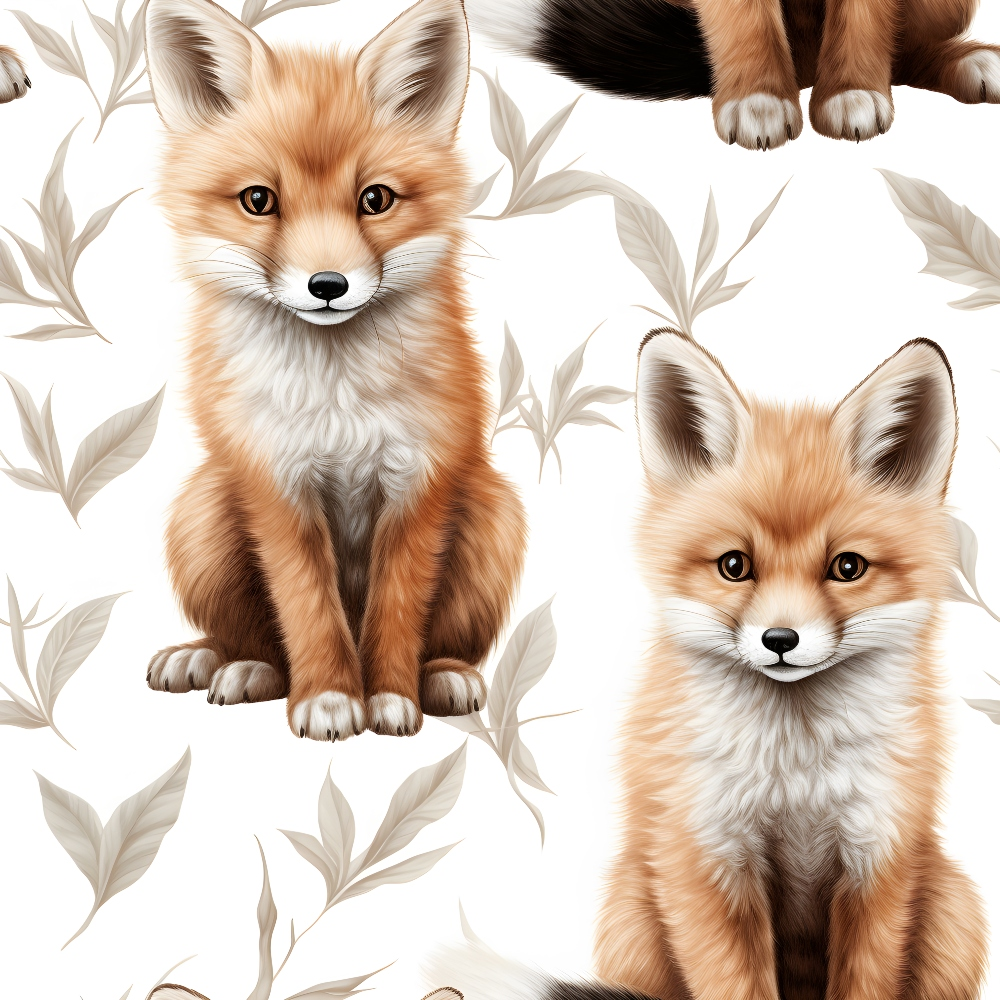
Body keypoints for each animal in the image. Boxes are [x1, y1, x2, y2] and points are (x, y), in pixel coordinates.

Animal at [142, 0, 527, 741]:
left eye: (375, 199)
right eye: (258, 200)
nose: (327, 286)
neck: (335, 400)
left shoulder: (419, 482)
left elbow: (397, 611)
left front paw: (390, 699)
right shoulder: (275, 481)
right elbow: (308, 607)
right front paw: (326, 697)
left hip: (494, 512)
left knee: (447, 643)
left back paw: (444, 676)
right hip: (203, 511)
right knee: (256, 642)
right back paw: (229, 663)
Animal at [426, 331, 989, 998]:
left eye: (847, 567)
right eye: (734, 566)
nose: (780, 638)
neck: (794, 770)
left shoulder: (877, 859)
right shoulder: (706, 859)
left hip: (955, 905)